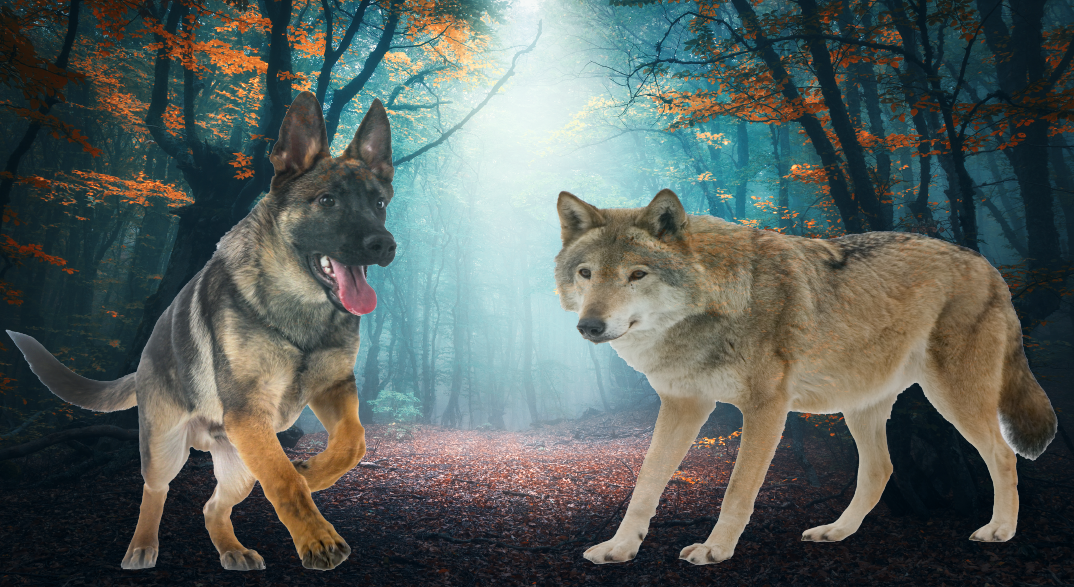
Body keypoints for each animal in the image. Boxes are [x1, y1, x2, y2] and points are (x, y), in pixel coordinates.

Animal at [8, 91, 396, 571]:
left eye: (379, 204)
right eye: (327, 201)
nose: (385, 245)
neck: (300, 308)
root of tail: (143, 362)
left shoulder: (333, 387)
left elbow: (353, 441)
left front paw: (314, 473)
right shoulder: (250, 412)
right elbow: (283, 480)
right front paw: (317, 537)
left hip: (241, 465)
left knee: (212, 507)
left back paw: (233, 550)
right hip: (166, 447)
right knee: (155, 490)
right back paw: (142, 547)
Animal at [554, 189, 1057, 566]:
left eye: (637, 274)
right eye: (586, 273)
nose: (589, 326)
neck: (714, 307)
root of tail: (986, 264)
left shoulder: (765, 408)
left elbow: (738, 489)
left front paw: (715, 550)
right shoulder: (684, 404)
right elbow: (646, 483)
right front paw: (620, 547)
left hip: (951, 396)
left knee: (1002, 455)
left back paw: (1000, 529)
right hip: (861, 406)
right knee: (881, 469)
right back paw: (837, 531)